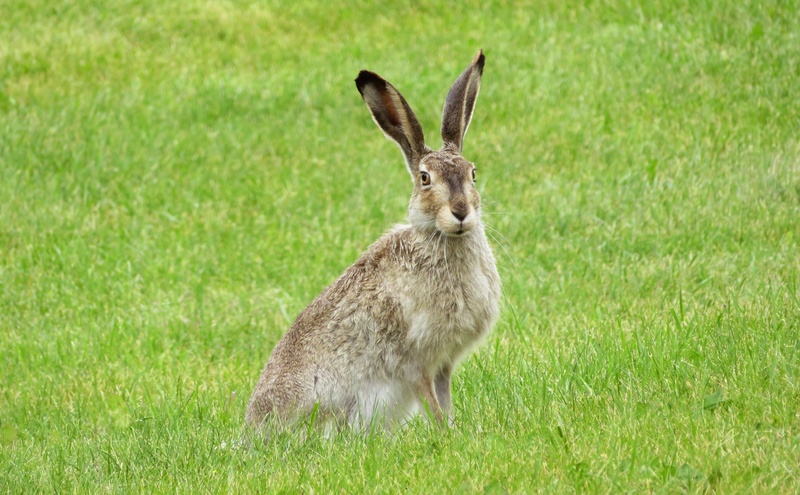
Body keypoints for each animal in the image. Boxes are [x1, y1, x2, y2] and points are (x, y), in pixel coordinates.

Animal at [246, 50, 500, 433]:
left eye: (472, 173)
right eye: (425, 178)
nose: (461, 212)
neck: (439, 238)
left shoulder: (443, 363)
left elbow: (444, 400)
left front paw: (455, 431)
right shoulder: (415, 361)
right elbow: (431, 402)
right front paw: (446, 434)